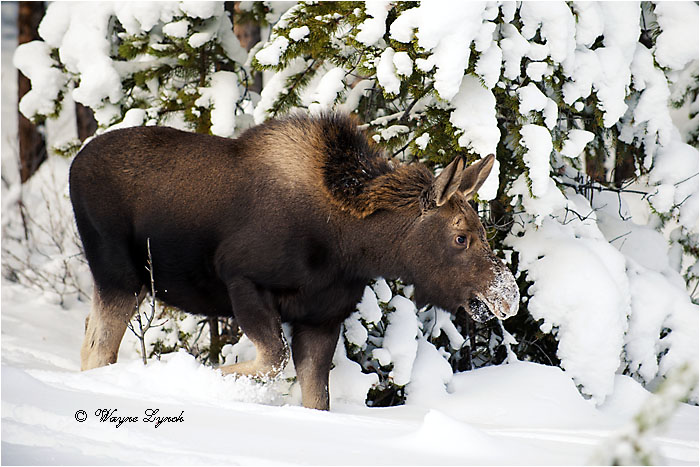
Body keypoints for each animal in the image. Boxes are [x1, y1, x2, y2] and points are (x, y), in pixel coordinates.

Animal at [69, 113, 519, 410]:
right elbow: (270, 361)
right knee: (98, 349)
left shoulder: (321, 318)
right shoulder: (242, 280)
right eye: (460, 237)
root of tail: (74, 163)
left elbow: (316, 399)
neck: (349, 247)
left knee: (90, 334)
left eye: (482, 230)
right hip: (119, 274)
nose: (508, 296)